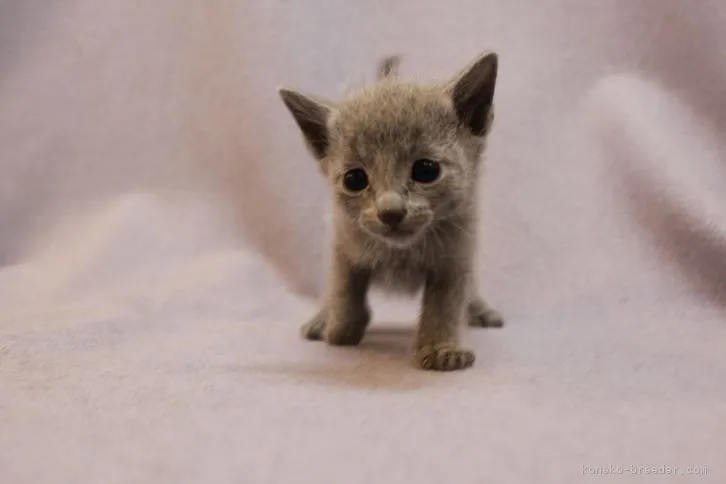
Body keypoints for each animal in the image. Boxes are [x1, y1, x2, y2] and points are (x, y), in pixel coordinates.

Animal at [280, 52, 506, 370]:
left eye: (426, 170)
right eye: (354, 179)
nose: (390, 211)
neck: (402, 252)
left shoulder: (457, 251)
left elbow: (446, 304)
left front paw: (441, 349)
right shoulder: (343, 239)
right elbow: (343, 285)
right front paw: (340, 328)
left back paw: (480, 310)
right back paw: (322, 319)